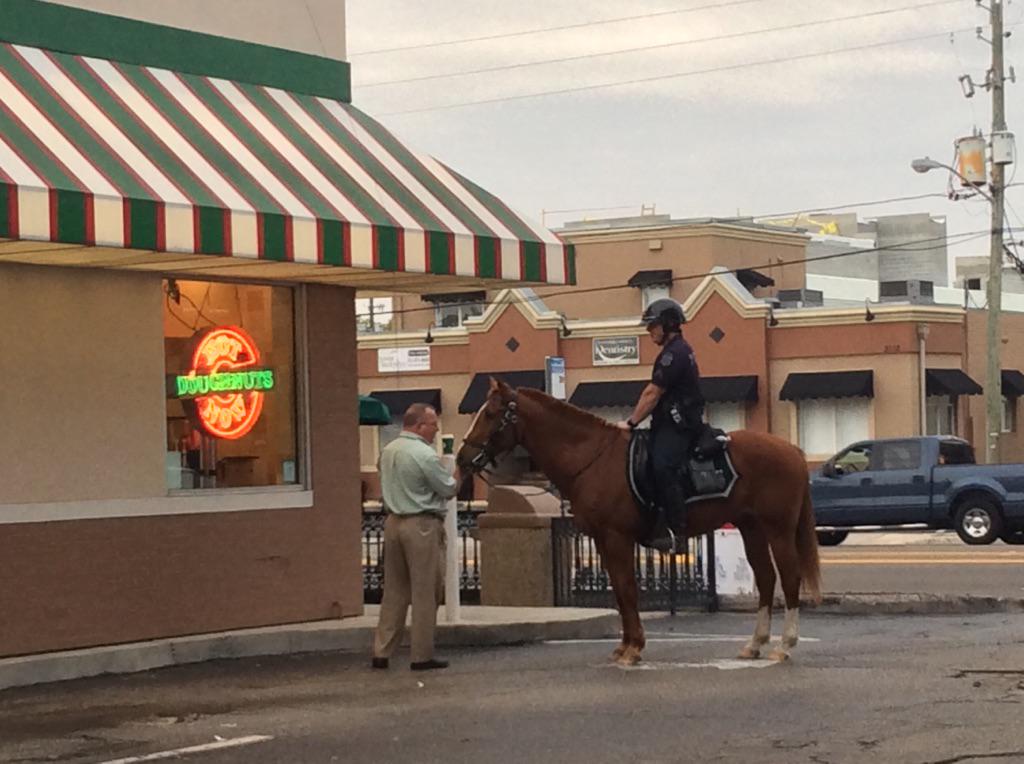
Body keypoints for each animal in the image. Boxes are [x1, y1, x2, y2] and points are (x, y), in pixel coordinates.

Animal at [458, 378, 823, 663]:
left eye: (490, 414)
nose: (462, 458)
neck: (593, 458)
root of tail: (792, 450)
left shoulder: (617, 537)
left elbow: (627, 589)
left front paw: (634, 647)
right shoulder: (602, 540)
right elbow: (620, 592)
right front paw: (625, 646)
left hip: (778, 529)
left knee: (789, 578)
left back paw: (784, 645)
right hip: (751, 528)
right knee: (766, 578)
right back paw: (755, 643)